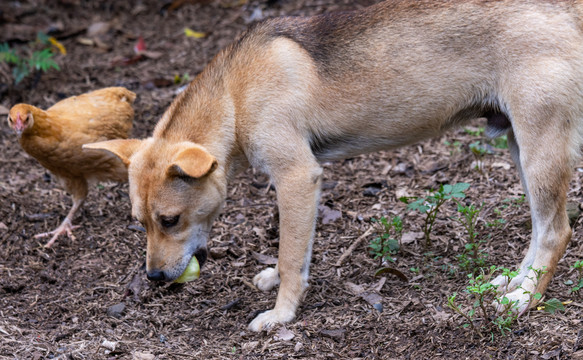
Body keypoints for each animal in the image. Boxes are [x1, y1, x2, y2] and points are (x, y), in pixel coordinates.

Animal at [84, 0, 583, 332]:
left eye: (170, 220)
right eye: (139, 223)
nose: (153, 279)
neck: (234, 95)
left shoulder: (296, 178)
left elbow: (291, 257)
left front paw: (282, 315)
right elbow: (291, 254)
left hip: (539, 152)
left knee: (557, 232)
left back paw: (521, 302)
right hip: (520, 149)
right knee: (540, 230)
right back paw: (512, 284)